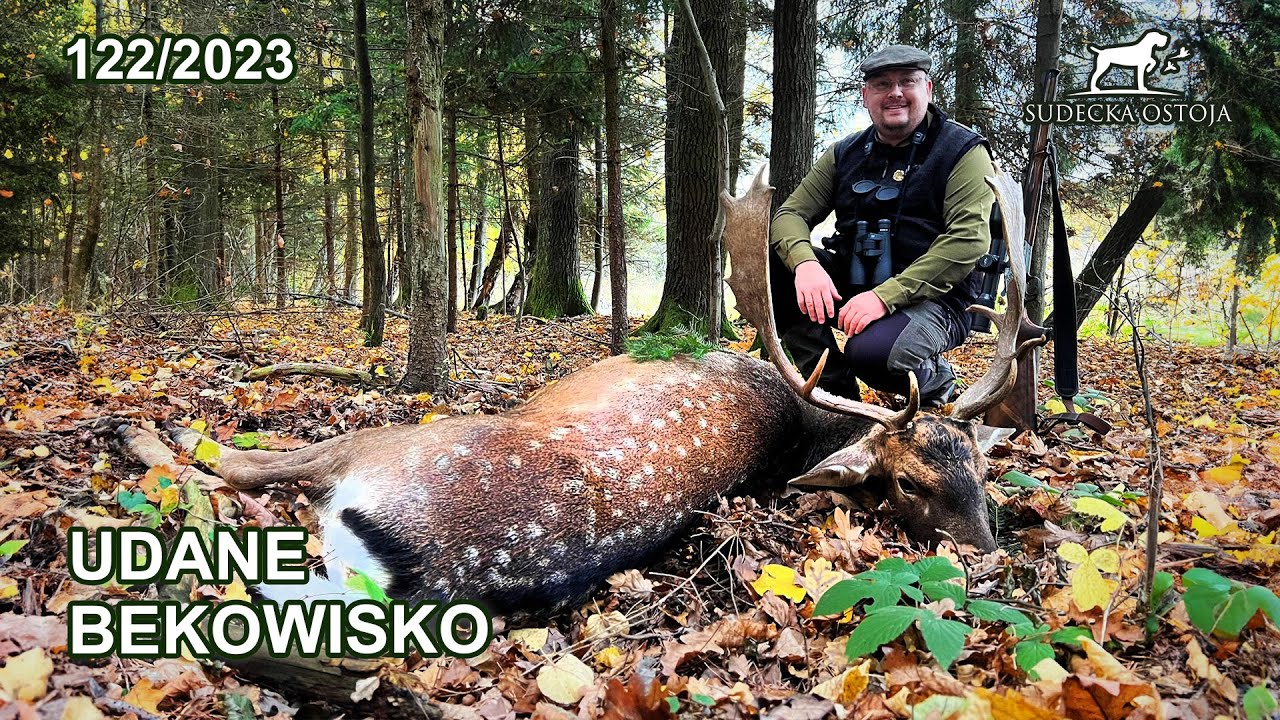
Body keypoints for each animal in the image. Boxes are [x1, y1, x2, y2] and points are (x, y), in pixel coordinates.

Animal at [119, 169, 1043, 612]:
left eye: (980, 476)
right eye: (917, 483)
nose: (990, 556)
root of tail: (401, 565)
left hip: (397, 444)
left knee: (236, 463)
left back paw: (142, 432)